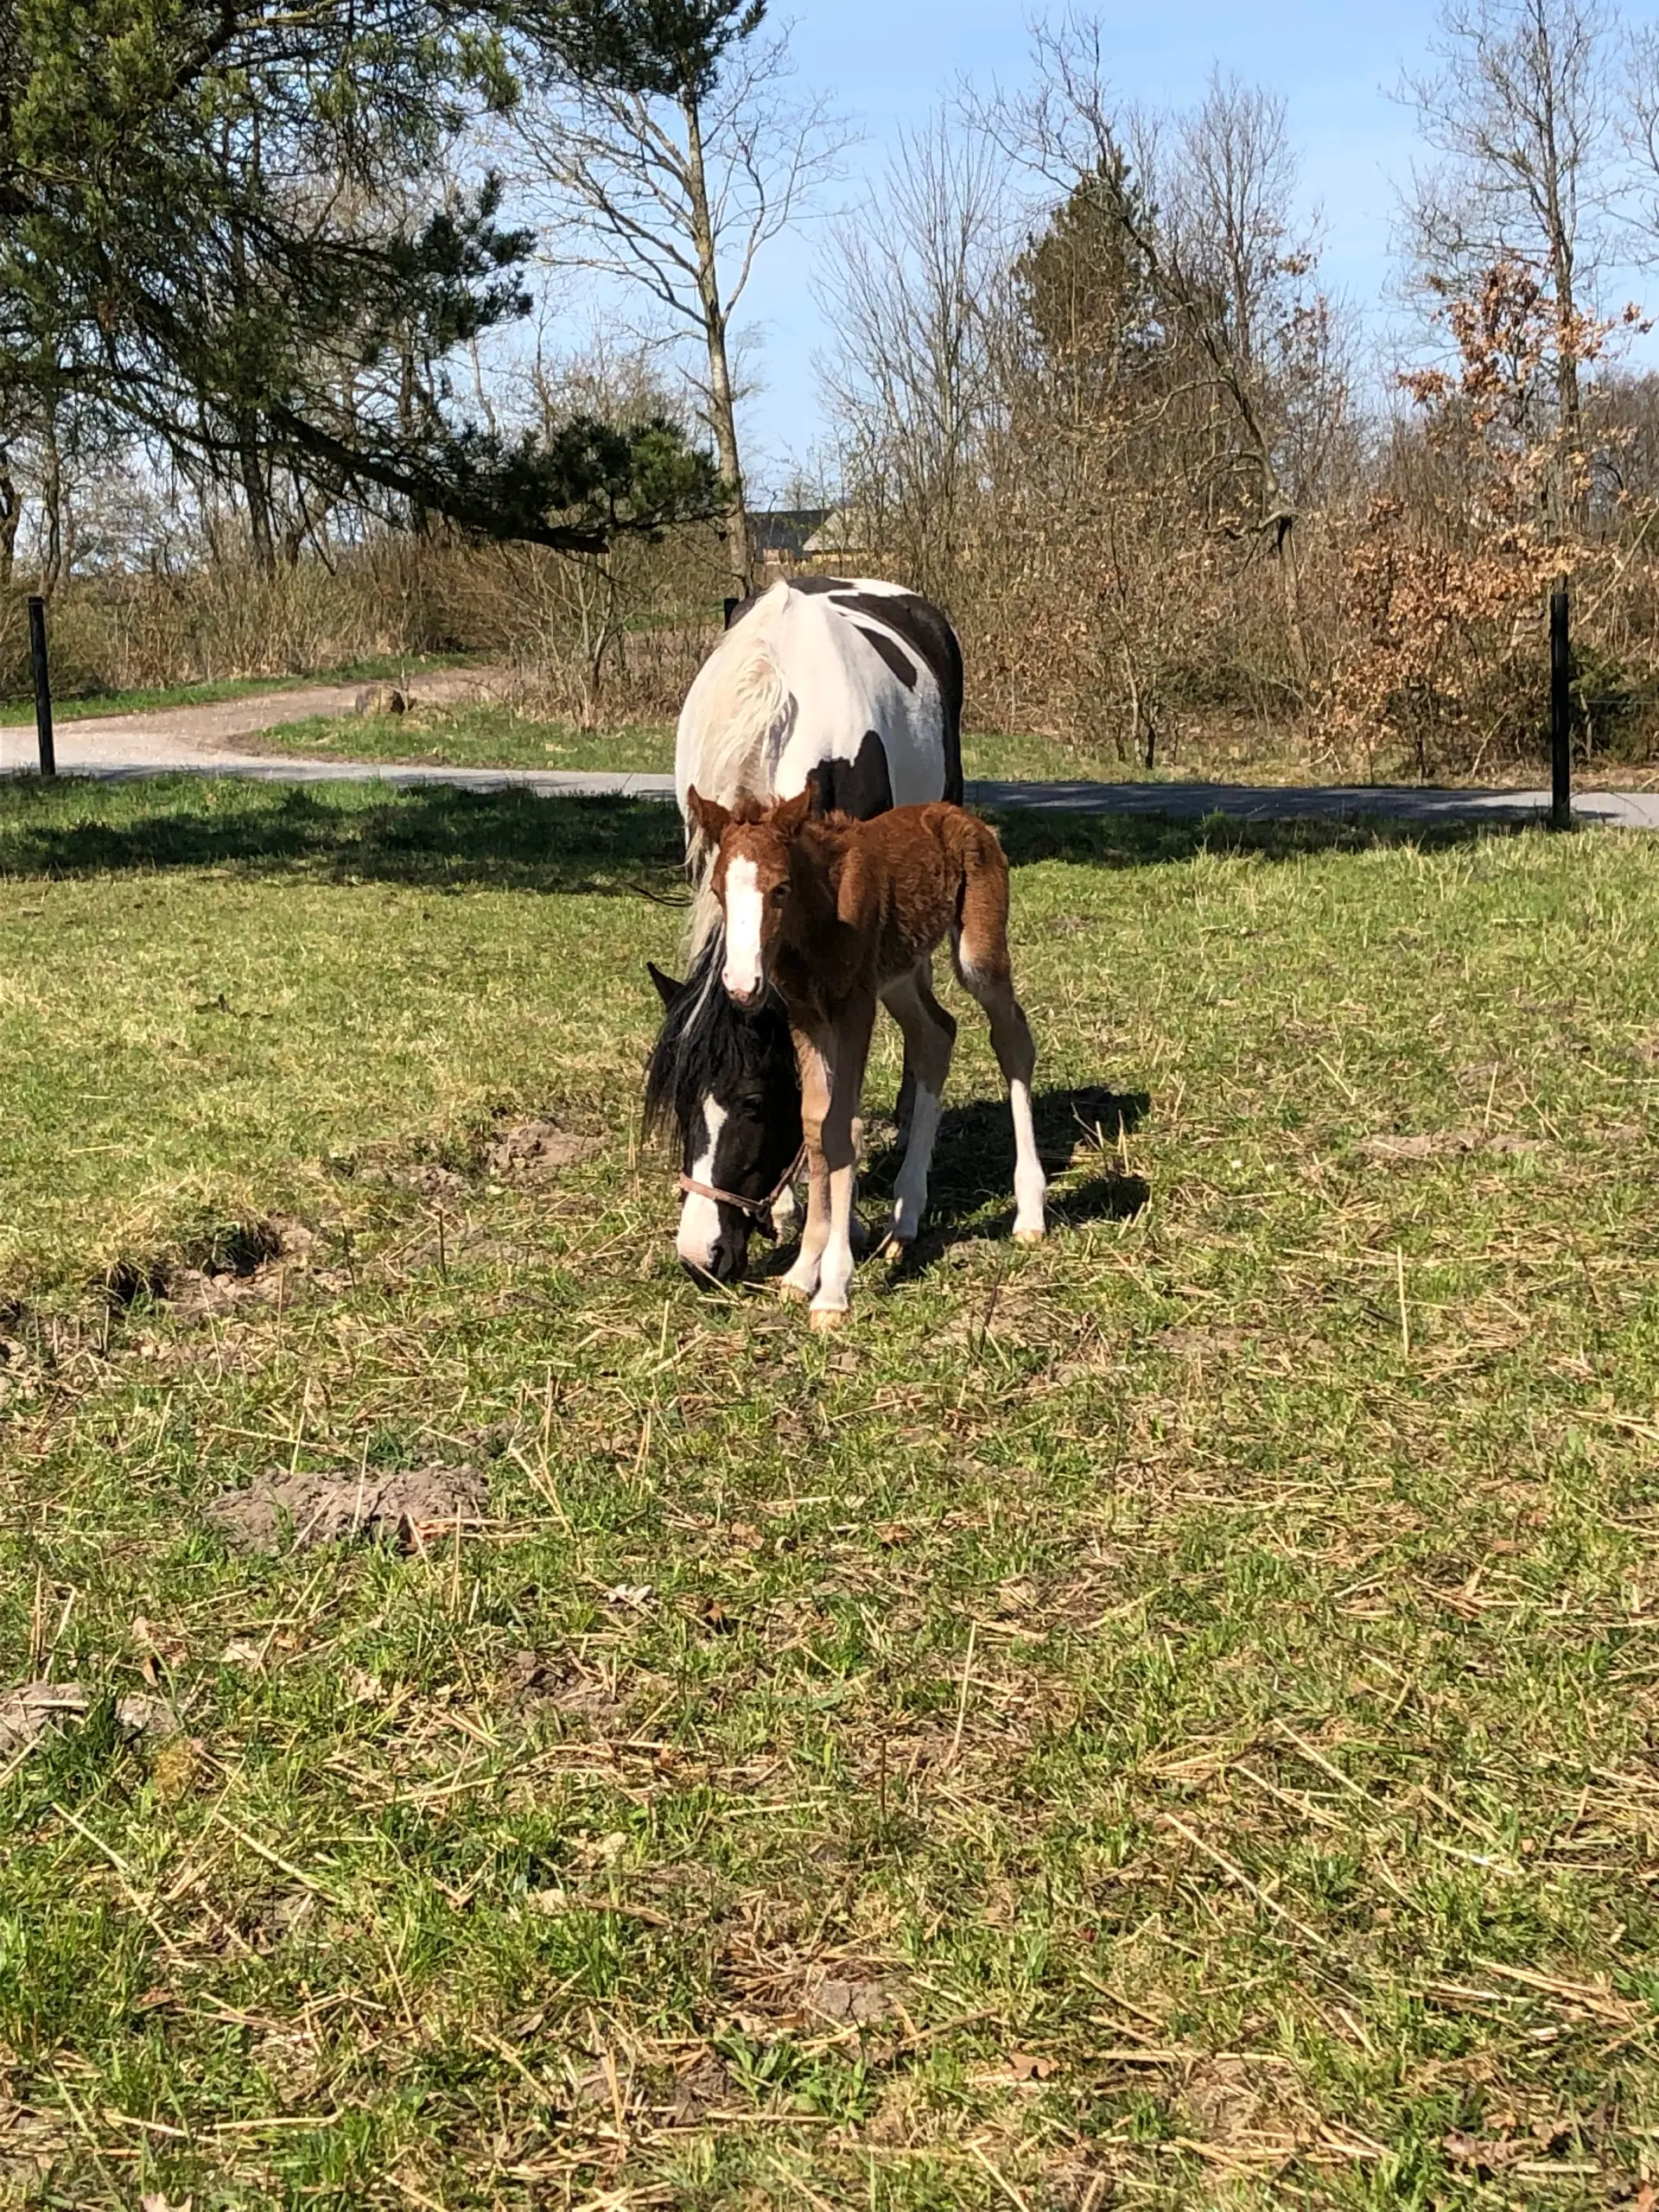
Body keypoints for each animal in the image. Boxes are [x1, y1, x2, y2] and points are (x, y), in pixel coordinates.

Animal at [645, 575, 960, 1282]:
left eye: (755, 1103)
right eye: (681, 1101)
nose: (700, 1257)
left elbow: (838, 1100)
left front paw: (848, 1224)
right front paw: (792, 1207)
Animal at [681, 787, 1044, 1318]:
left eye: (780, 888)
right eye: (717, 891)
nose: (742, 984)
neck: (817, 922)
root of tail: (961, 815)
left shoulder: (855, 1008)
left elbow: (841, 1127)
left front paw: (832, 1288)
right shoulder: (806, 1015)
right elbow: (815, 1124)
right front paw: (802, 1271)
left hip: (978, 951)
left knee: (1012, 1038)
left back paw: (1031, 1211)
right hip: (898, 975)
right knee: (937, 1034)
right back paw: (905, 1219)